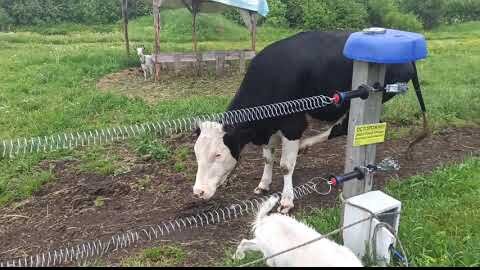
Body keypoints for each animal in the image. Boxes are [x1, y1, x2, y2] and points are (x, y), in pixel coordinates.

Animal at [194, 31, 420, 213]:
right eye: (196, 153)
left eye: (218, 154)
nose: (198, 192)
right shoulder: (267, 128)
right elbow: (267, 158)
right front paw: (264, 184)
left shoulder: (292, 125)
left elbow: (285, 166)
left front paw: (286, 200)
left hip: (365, 98)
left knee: (342, 128)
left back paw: (305, 144)